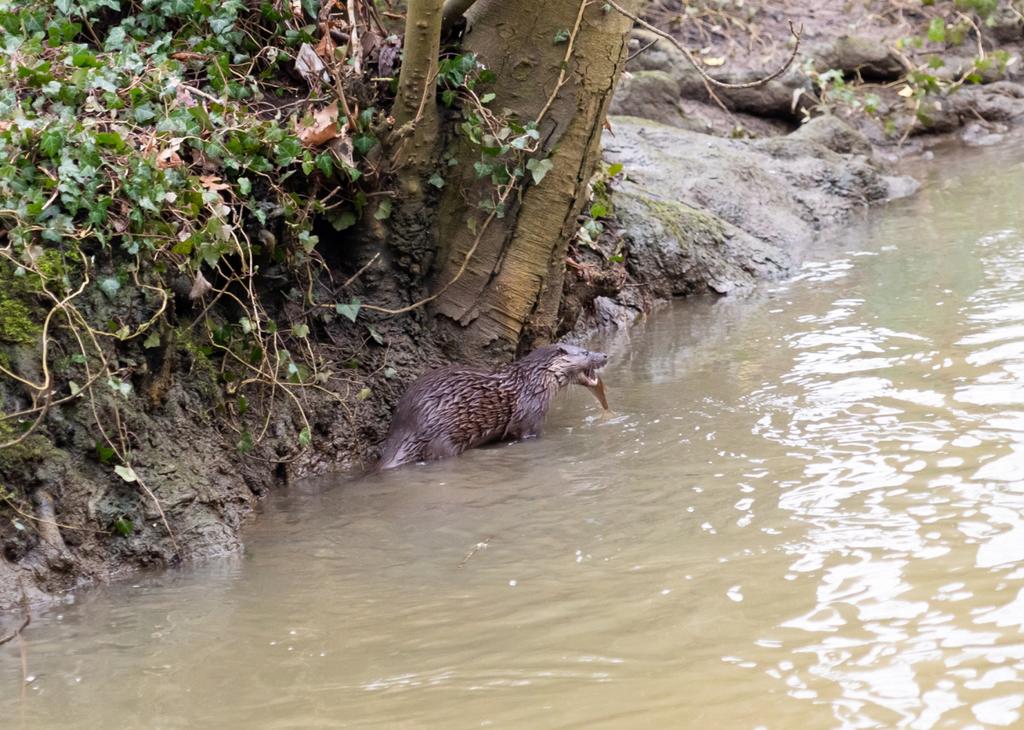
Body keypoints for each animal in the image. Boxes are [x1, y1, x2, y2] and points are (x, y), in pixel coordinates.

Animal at [378, 343, 608, 469]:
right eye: (585, 352)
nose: (604, 355)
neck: (534, 381)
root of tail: (407, 427)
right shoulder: (531, 416)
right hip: (440, 436)